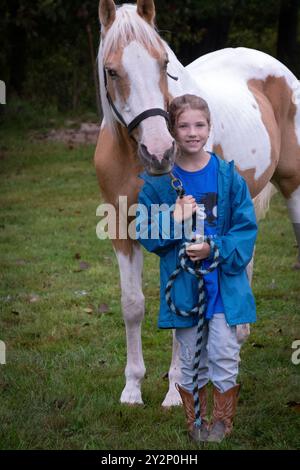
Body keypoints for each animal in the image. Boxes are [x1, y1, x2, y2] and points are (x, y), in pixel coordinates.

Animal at [95, 0, 300, 408]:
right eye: (111, 70)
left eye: (163, 64)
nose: (160, 151)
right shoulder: (121, 227)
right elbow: (132, 304)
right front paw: (132, 388)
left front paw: (177, 392)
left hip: (295, 188)